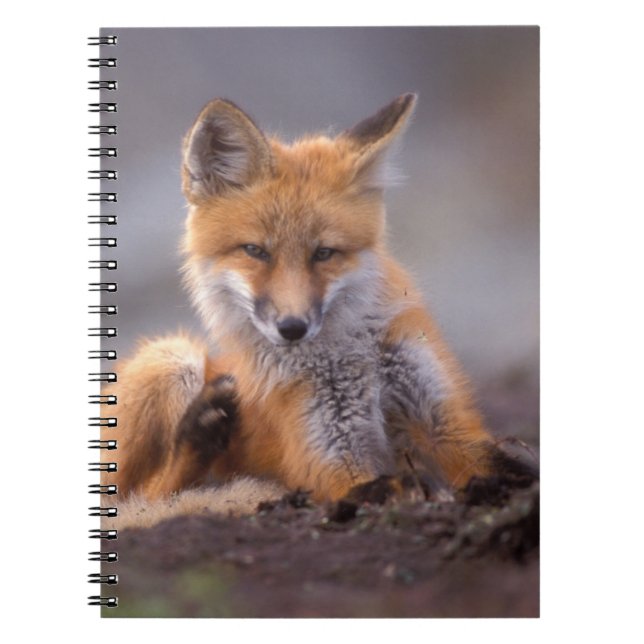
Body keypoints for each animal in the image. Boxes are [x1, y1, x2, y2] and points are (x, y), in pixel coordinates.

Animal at [103, 93, 536, 525]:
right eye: (255, 251)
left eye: (324, 253)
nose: (292, 327)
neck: (351, 356)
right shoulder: (330, 458)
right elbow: (379, 485)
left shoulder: (445, 424)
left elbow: (504, 462)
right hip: (171, 358)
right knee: (143, 497)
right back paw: (201, 433)